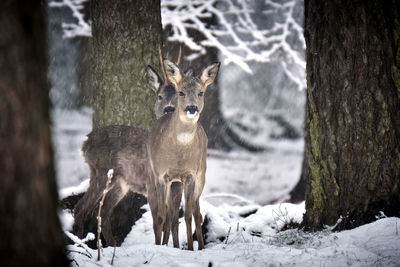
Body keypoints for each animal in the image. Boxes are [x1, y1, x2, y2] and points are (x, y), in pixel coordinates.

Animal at [73, 48, 181, 247]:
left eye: (180, 95)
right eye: (159, 96)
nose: (169, 109)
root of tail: (85, 142)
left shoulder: (177, 186)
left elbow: (173, 221)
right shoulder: (152, 183)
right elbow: (159, 220)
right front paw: (159, 247)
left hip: (120, 182)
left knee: (104, 211)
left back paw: (111, 244)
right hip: (100, 171)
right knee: (81, 208)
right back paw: (80, 243)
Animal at [147, 59, 220, 251]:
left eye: (201, 92)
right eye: (181, 92)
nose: (192, 107)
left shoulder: (190, 175)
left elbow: (186, 215)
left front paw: (190, 248)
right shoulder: (161, 175)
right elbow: (161, 216)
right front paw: (159, 245)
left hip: (202, 173)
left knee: (196, 210)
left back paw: (200, 246)